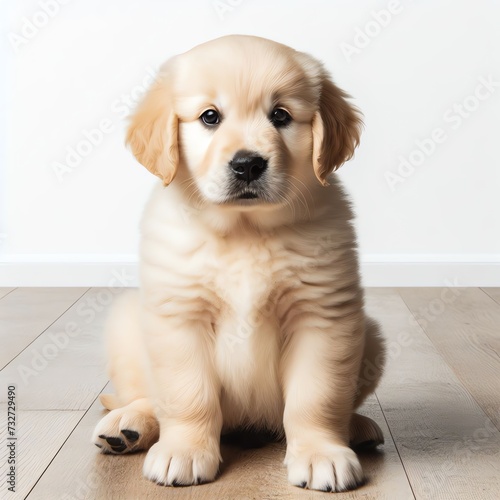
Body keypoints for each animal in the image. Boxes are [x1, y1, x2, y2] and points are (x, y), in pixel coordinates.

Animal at [92, 34, 384, 492]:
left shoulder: (322, 315)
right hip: (126, 326)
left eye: (280, 115)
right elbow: (188, 395)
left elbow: (316, 397)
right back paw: (129, 426)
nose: (248, 164)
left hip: (371, 334)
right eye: (210, 117)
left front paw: (321, 453)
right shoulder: (181, 315)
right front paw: (184, 450)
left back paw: (357, 427)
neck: (245, 230)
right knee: (146, 397)